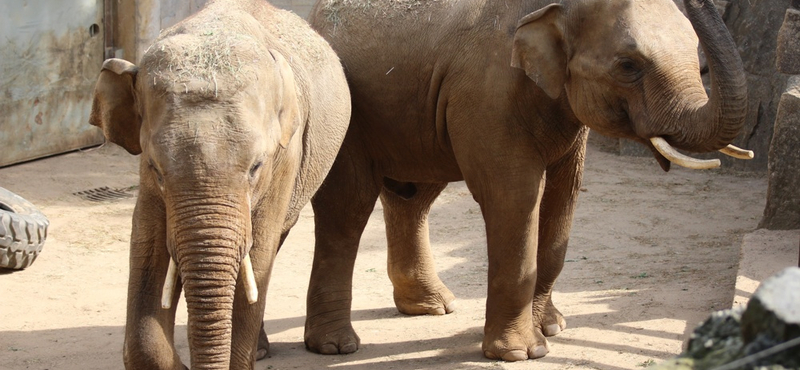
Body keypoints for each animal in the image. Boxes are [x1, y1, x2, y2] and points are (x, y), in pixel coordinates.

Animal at [306, 0, 756, 362]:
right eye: (628, 66)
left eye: (697, 59)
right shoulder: (486, 95)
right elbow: (515, 197)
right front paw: (524, 352)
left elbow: (565, 195)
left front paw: (553, 328)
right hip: (345, 117)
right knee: (348, 206)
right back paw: (335, 346)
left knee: (413, 196)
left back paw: (433, 307)